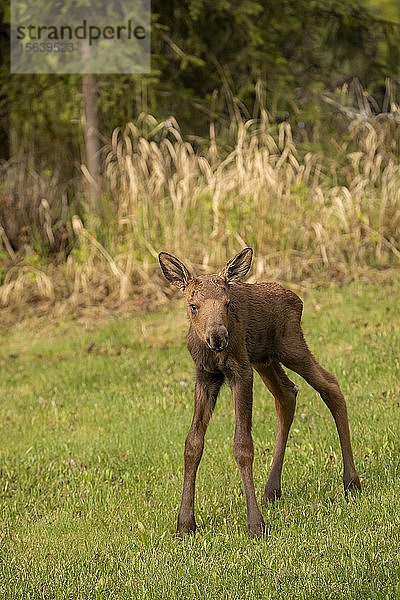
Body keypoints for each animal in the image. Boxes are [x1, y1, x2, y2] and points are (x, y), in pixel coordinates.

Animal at [159, 246, 362, 536]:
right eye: (193, 305)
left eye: (228, 303)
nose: (218, 338)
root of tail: (297, 299)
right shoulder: (205, 377)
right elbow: (193, 443)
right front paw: (185, 523)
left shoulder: (241, 372)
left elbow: (243, 445)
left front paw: (255, 523)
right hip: (266, 359)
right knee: (287, 394)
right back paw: (271, 489)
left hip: (290, 346)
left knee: (330, 385)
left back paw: (351, 481)